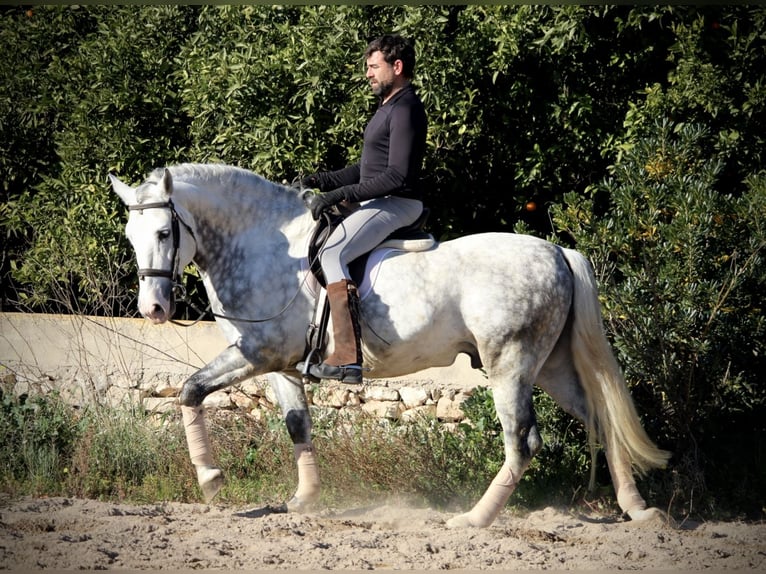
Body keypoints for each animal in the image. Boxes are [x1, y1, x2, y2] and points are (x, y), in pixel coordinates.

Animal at [109, 163, 672, 532]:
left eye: (165, 232)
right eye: (130, 235)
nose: (152, 309)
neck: (266, 247)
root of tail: (557, 250)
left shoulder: (257, 355)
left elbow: (189, 390)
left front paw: (210, 479)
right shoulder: (281, 365)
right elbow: (296, 424)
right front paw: (303, 501)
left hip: (509, 366)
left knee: (523, 441)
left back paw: (473, 520)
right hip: (548, 367)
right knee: (600, 416)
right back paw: (638, 510)